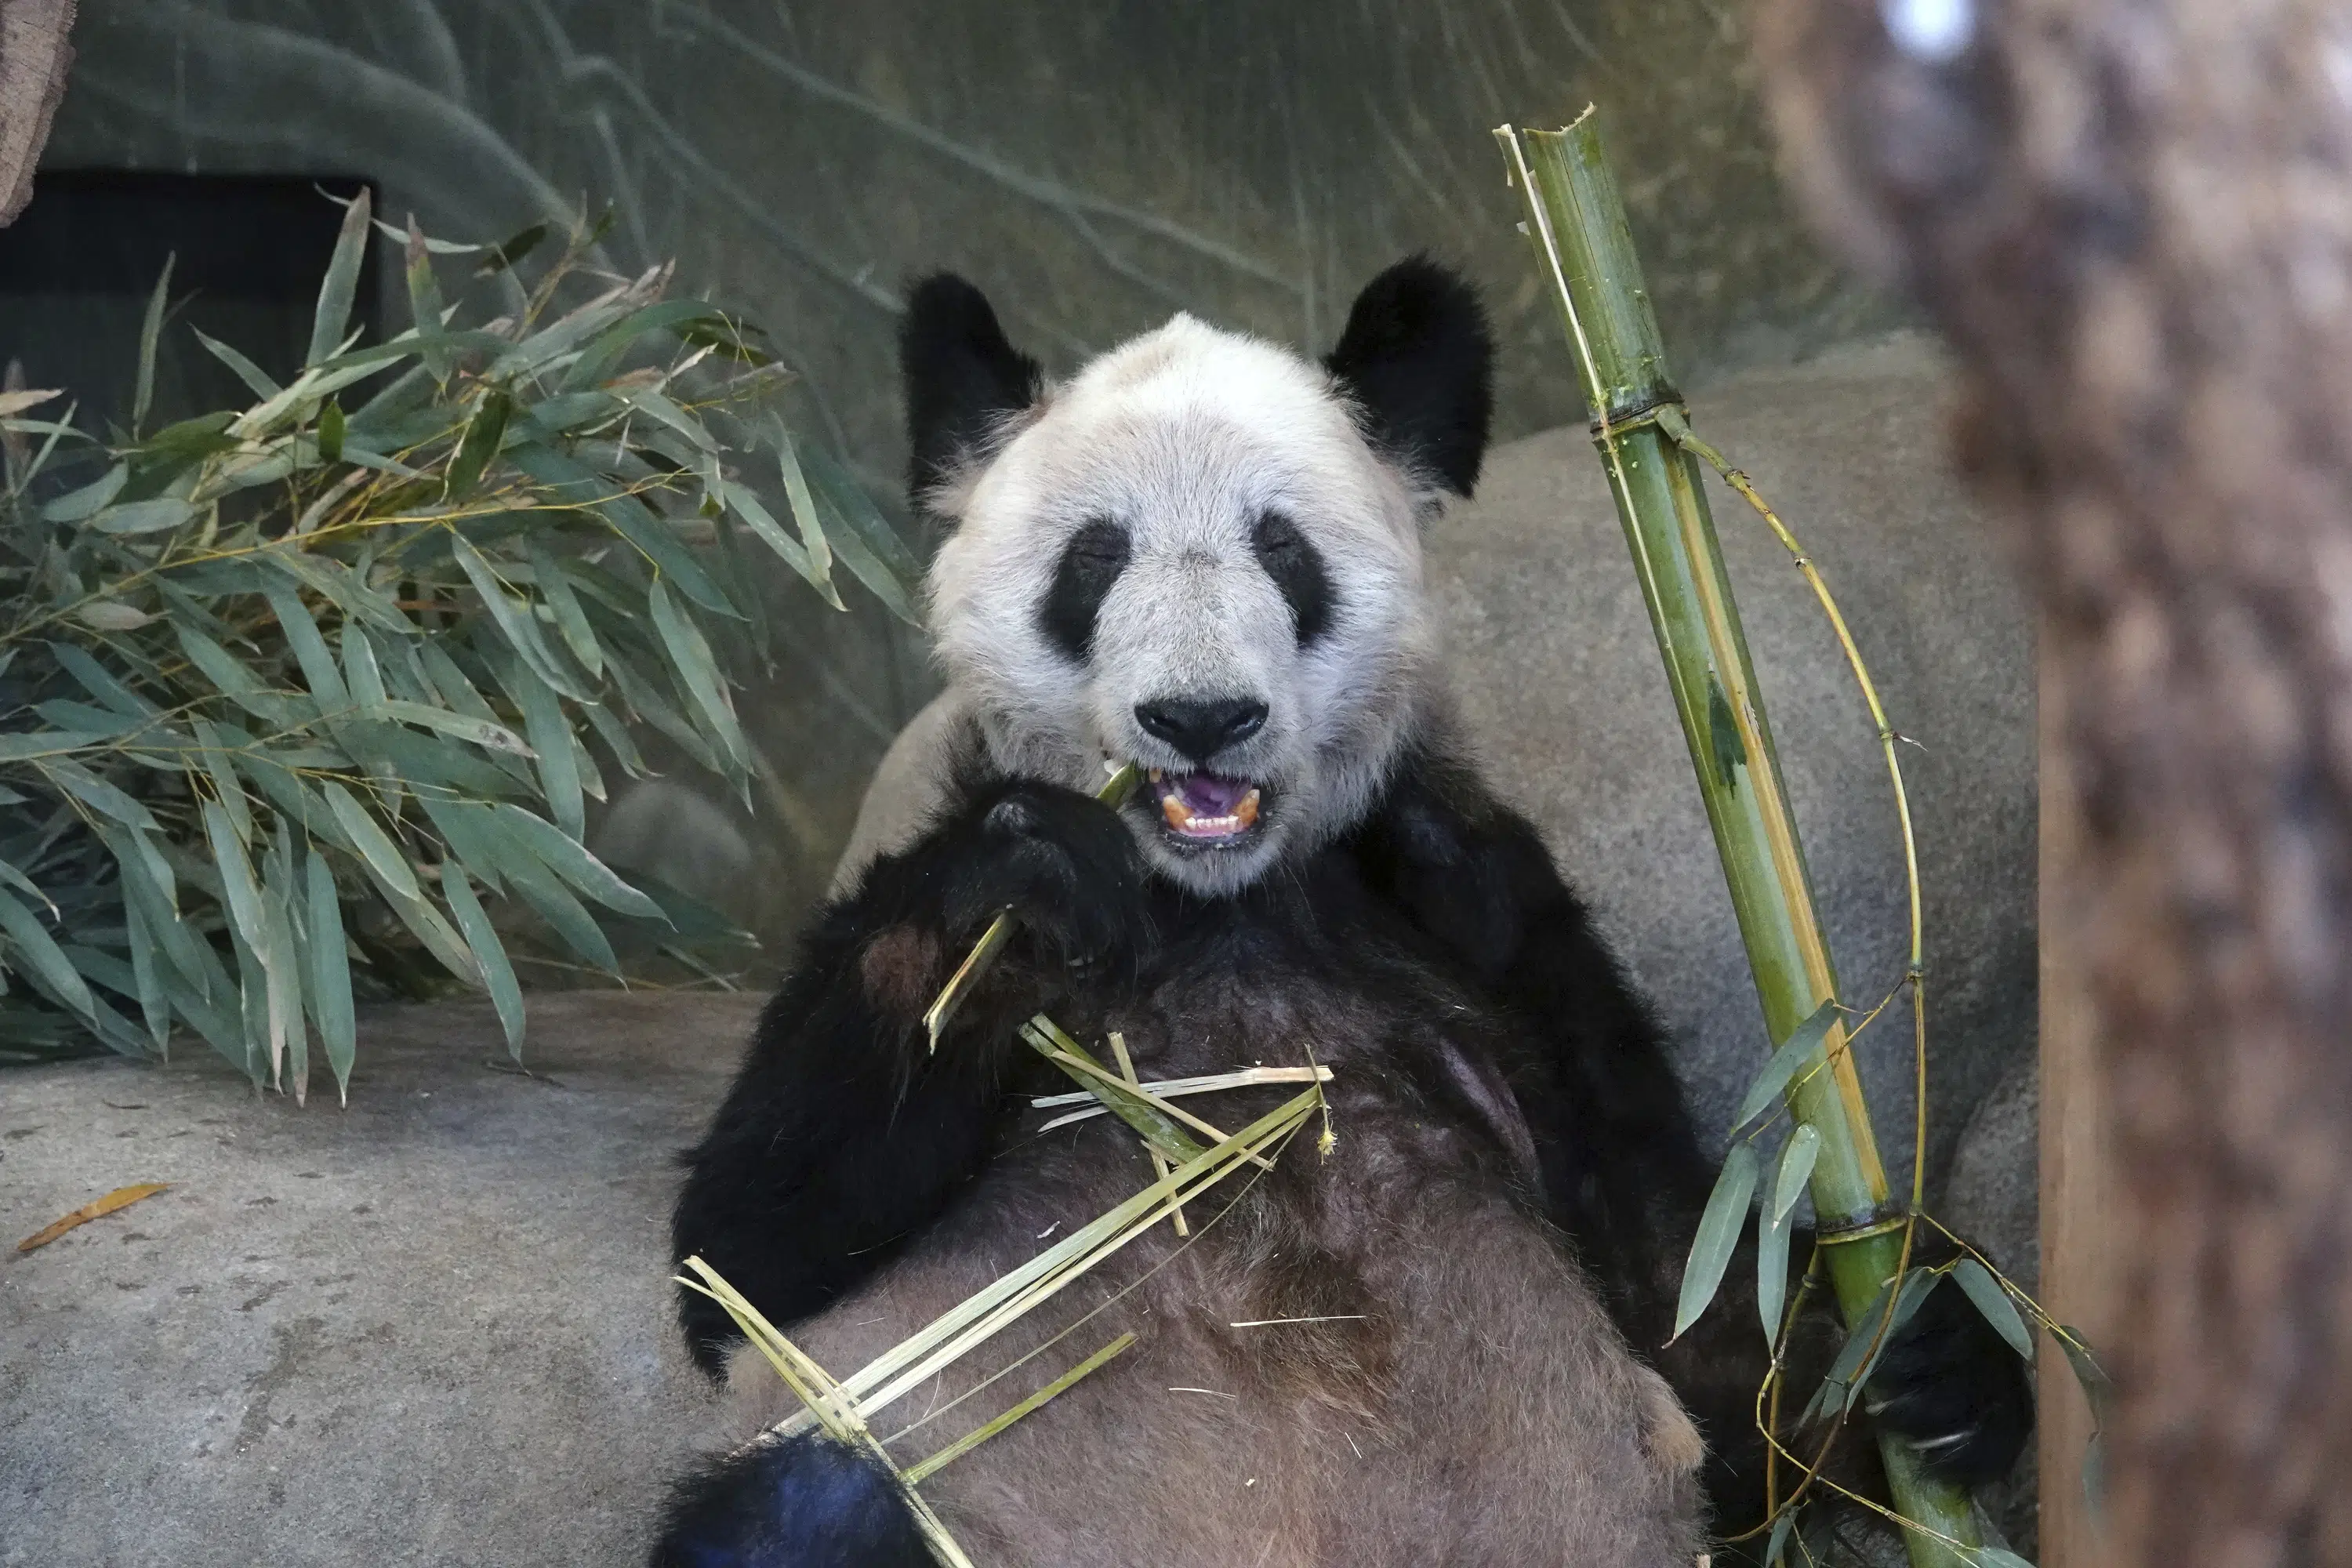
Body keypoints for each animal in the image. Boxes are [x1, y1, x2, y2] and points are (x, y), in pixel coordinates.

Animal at [649, 263, 2023, 1561]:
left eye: (1282, 550)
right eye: (1095, 557)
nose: (1202, 717)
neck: (1216, 905)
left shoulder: (1481, 923)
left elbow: (1706, 1322)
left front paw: (1939, 1344)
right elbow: (749, 1253)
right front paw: (1019, 889)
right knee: (808, 1507)